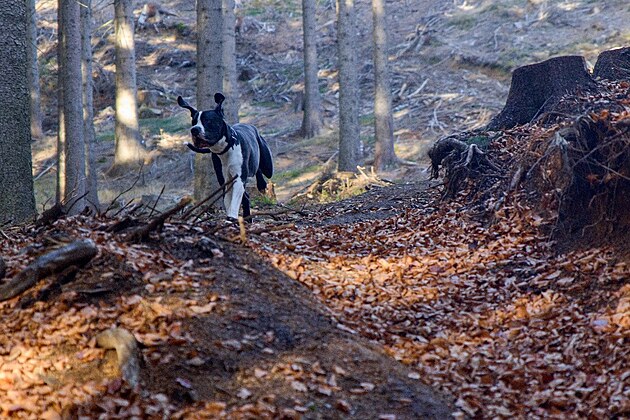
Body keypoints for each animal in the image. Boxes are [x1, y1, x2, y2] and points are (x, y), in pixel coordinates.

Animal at [179, 92, 276, 220]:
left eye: (208, 121)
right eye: (193, 122)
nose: (194, 130)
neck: (225, 149)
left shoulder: (239, 177)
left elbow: (234, 199)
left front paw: (232, 216)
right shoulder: (224, 179)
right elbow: (228, 199)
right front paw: (230, 217)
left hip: (267, 166)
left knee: (260, 169)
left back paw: (261, 184)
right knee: (246, 197)